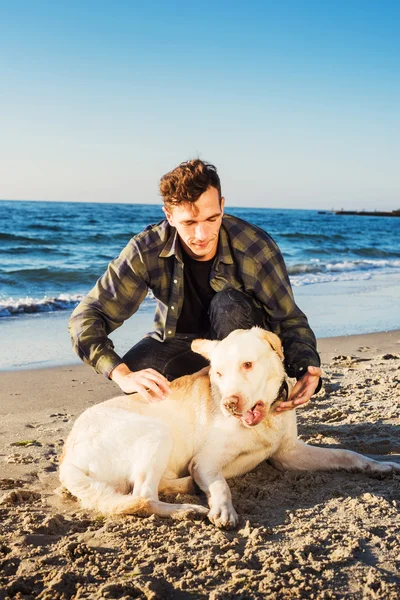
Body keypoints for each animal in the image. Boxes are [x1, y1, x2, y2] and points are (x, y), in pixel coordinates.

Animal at [60, 326, 400, 528]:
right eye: (219, 373)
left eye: (247, 365)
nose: (230, 405)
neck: (264, 421)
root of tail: (66, 460)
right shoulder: (205, 462)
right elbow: (221, 485)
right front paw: (223, 508)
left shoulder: (288, 454)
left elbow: (346, 454)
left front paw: (378, 465)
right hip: (157, 432)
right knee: (142, 496)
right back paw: (186, 509)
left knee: (150, 488)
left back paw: (185, 487)